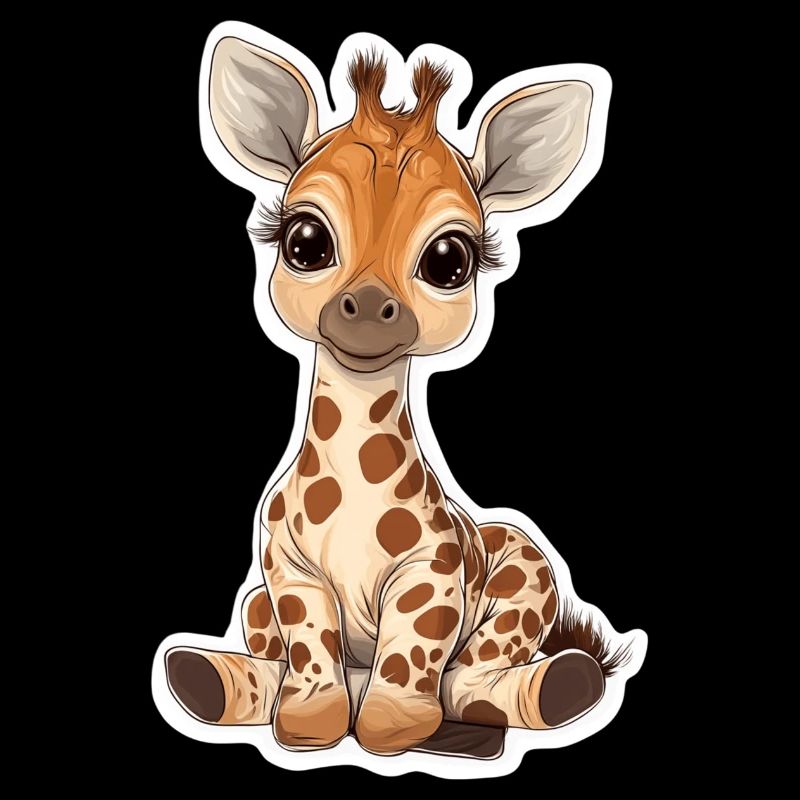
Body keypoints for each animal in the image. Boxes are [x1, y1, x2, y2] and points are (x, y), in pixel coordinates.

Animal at [163, 34, 634, 759]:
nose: (366, 309)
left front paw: (393, 726)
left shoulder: (430, 570)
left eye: (450, 260)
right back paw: (203, 677)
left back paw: (549, 690)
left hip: (526, 570)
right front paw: (311, 723)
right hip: (256, 603)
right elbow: (310, 646)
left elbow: (413, 649)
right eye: (304, 242)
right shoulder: (288, 571)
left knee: (478, 676)